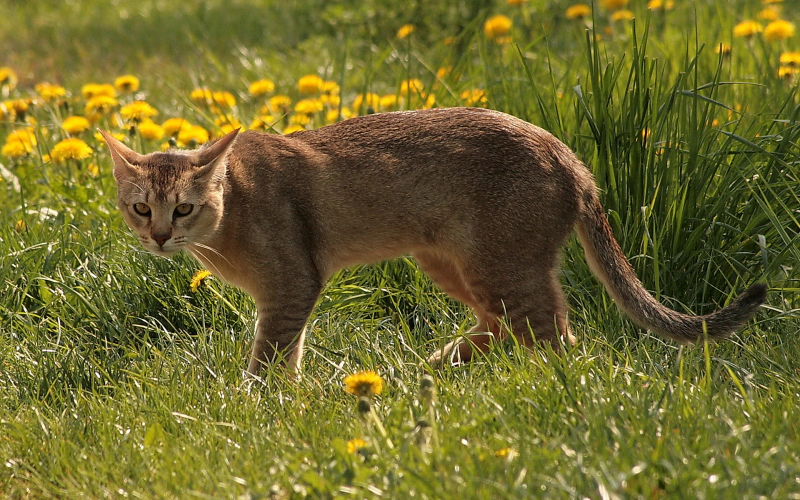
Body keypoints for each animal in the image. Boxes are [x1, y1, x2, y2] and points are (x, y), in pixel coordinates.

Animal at [97, 108, 764, 376]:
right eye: (141, 208)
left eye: (184, 207)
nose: (160, 237)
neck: (228, 213)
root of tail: (570, 158)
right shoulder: (288, 293)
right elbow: (284, 353)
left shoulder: (291, 285)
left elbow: (270, 358)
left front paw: (254, 406)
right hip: (449, 263)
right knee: (507, 326)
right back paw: (432, 370)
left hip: (499, 266)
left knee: (558, 337)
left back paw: (543, 387)